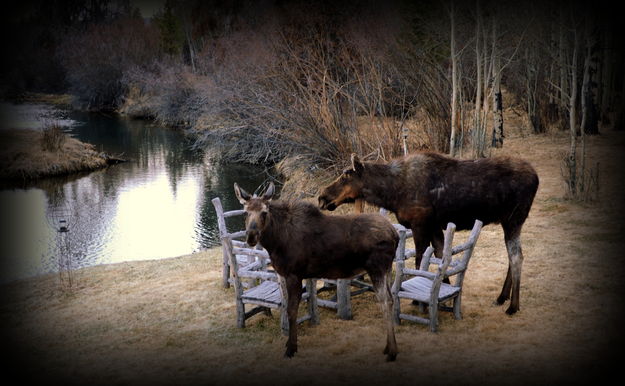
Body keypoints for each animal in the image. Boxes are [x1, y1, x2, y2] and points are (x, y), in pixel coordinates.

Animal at [232, 182, 398, 360]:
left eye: (264, 212)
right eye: (245, 212)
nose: (251, 236)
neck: (275, 243)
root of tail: (395, 235)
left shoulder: (293, 274)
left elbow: (291, 311)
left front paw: (291, 348)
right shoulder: (287, 274)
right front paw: (289, 344)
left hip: (377, 268)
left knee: (385, 301)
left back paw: (392, 351)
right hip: (387, 269)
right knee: (391, 298)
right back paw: (388, 347)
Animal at [320, 152, 540, 316]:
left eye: (346, 176)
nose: (322, 197)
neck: (391, 194)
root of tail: (536, 178)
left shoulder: (420, 224)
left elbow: (420, 261)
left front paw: (419, 303)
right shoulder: (434, 227)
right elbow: (441, 257)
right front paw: (444, 295)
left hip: (513, 219)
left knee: (517, 256)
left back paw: (513, 306)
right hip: (508, 222)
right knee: (513, 256)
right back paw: (502, 297)